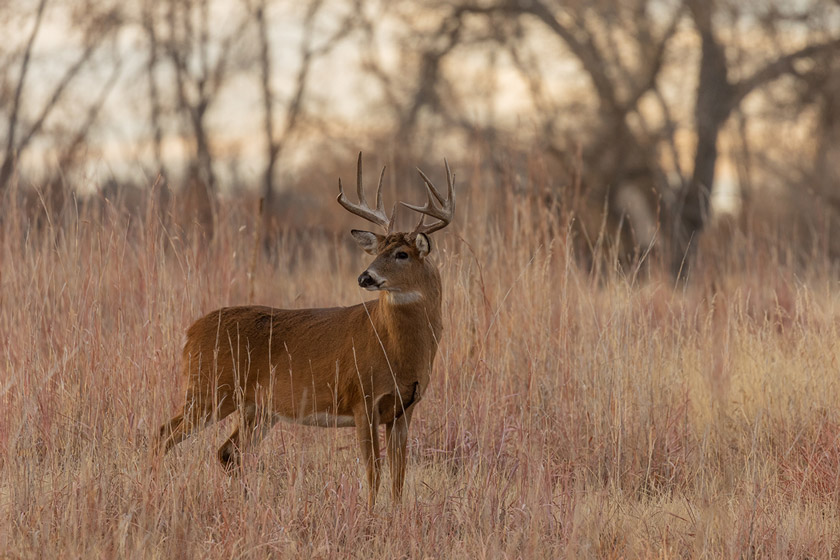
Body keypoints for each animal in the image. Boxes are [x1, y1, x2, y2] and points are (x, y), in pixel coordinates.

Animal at [156, 153, 454, 508]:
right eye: (377, 250)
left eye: (402, 253)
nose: (365, 277)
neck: (396, 350)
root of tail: (190, 333)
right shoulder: (362, 399)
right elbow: (374, 471)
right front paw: (369, 514)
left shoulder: (404, 409)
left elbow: (399, 476)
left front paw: (394, 515)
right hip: (210, 390)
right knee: (164, 435)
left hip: (257, 407)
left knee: (228, 451)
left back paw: (250, 502)